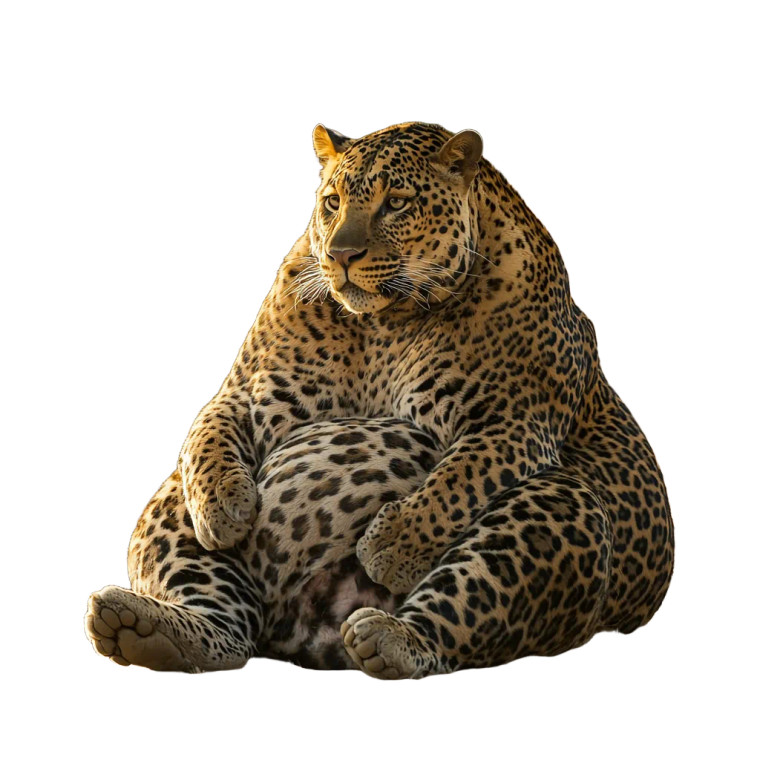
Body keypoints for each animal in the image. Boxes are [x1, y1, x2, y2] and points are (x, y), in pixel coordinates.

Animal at [85, 121, 674, 679]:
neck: (385, 325)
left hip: (565, 504)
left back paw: (393, 636)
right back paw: (141, 627)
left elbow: (460, 479)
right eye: (332, 202)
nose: (341, 254)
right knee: (228, 628)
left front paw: (392, 547)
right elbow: (206, 435)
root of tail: (296, 628)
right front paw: (223, 508)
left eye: (396, 202)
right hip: (172, 510)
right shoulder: (249, 391)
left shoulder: (513, 422)